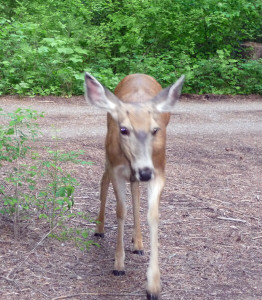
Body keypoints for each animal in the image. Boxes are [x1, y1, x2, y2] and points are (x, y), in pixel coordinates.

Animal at [84, 71, 184, 298]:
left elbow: (152, 214)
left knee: (135, 190)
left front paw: (153, 285)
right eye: (124, 129)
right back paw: (99, 228)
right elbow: (121, 210)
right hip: (107, 154)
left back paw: (137, 242)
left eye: (155, 129)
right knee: (103, 181)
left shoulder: (159, 169)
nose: (145, 171)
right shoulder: (116, 168)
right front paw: (118, 264)